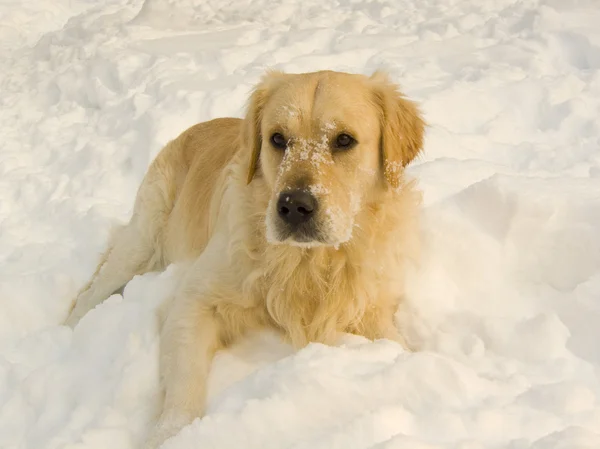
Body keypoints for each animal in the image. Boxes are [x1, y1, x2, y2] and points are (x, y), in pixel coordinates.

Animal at [64, 69, 422, 444]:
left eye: (344, 140)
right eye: (277, 139)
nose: (293, 206)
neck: (306, 262)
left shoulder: (370, 309)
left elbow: (398, 344)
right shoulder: (195, 299)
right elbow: (184, 382)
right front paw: (170, 435)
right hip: (142, 239)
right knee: (89, 295)